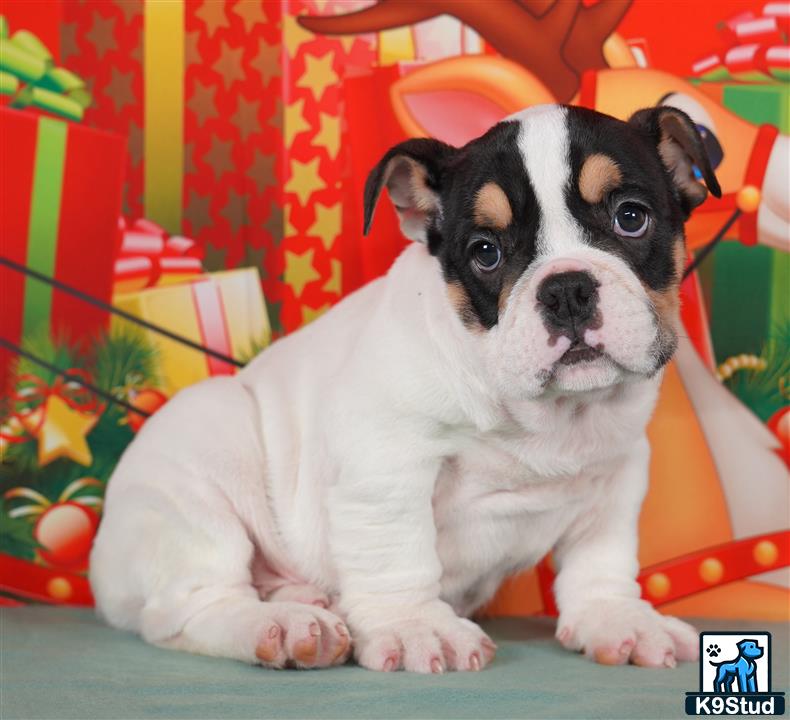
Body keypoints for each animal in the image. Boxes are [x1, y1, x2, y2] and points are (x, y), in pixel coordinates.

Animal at [89, 104, 720, 672]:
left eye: (631, 217)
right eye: (485, 252)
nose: (566, 290)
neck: (549, 415)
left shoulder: (616, 472)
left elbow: (600, 559)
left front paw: (616, 617)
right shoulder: (385, 465)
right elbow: (399, 552)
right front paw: (418, 626)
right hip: (200, 472)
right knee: (194, 606)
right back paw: (288, 627)